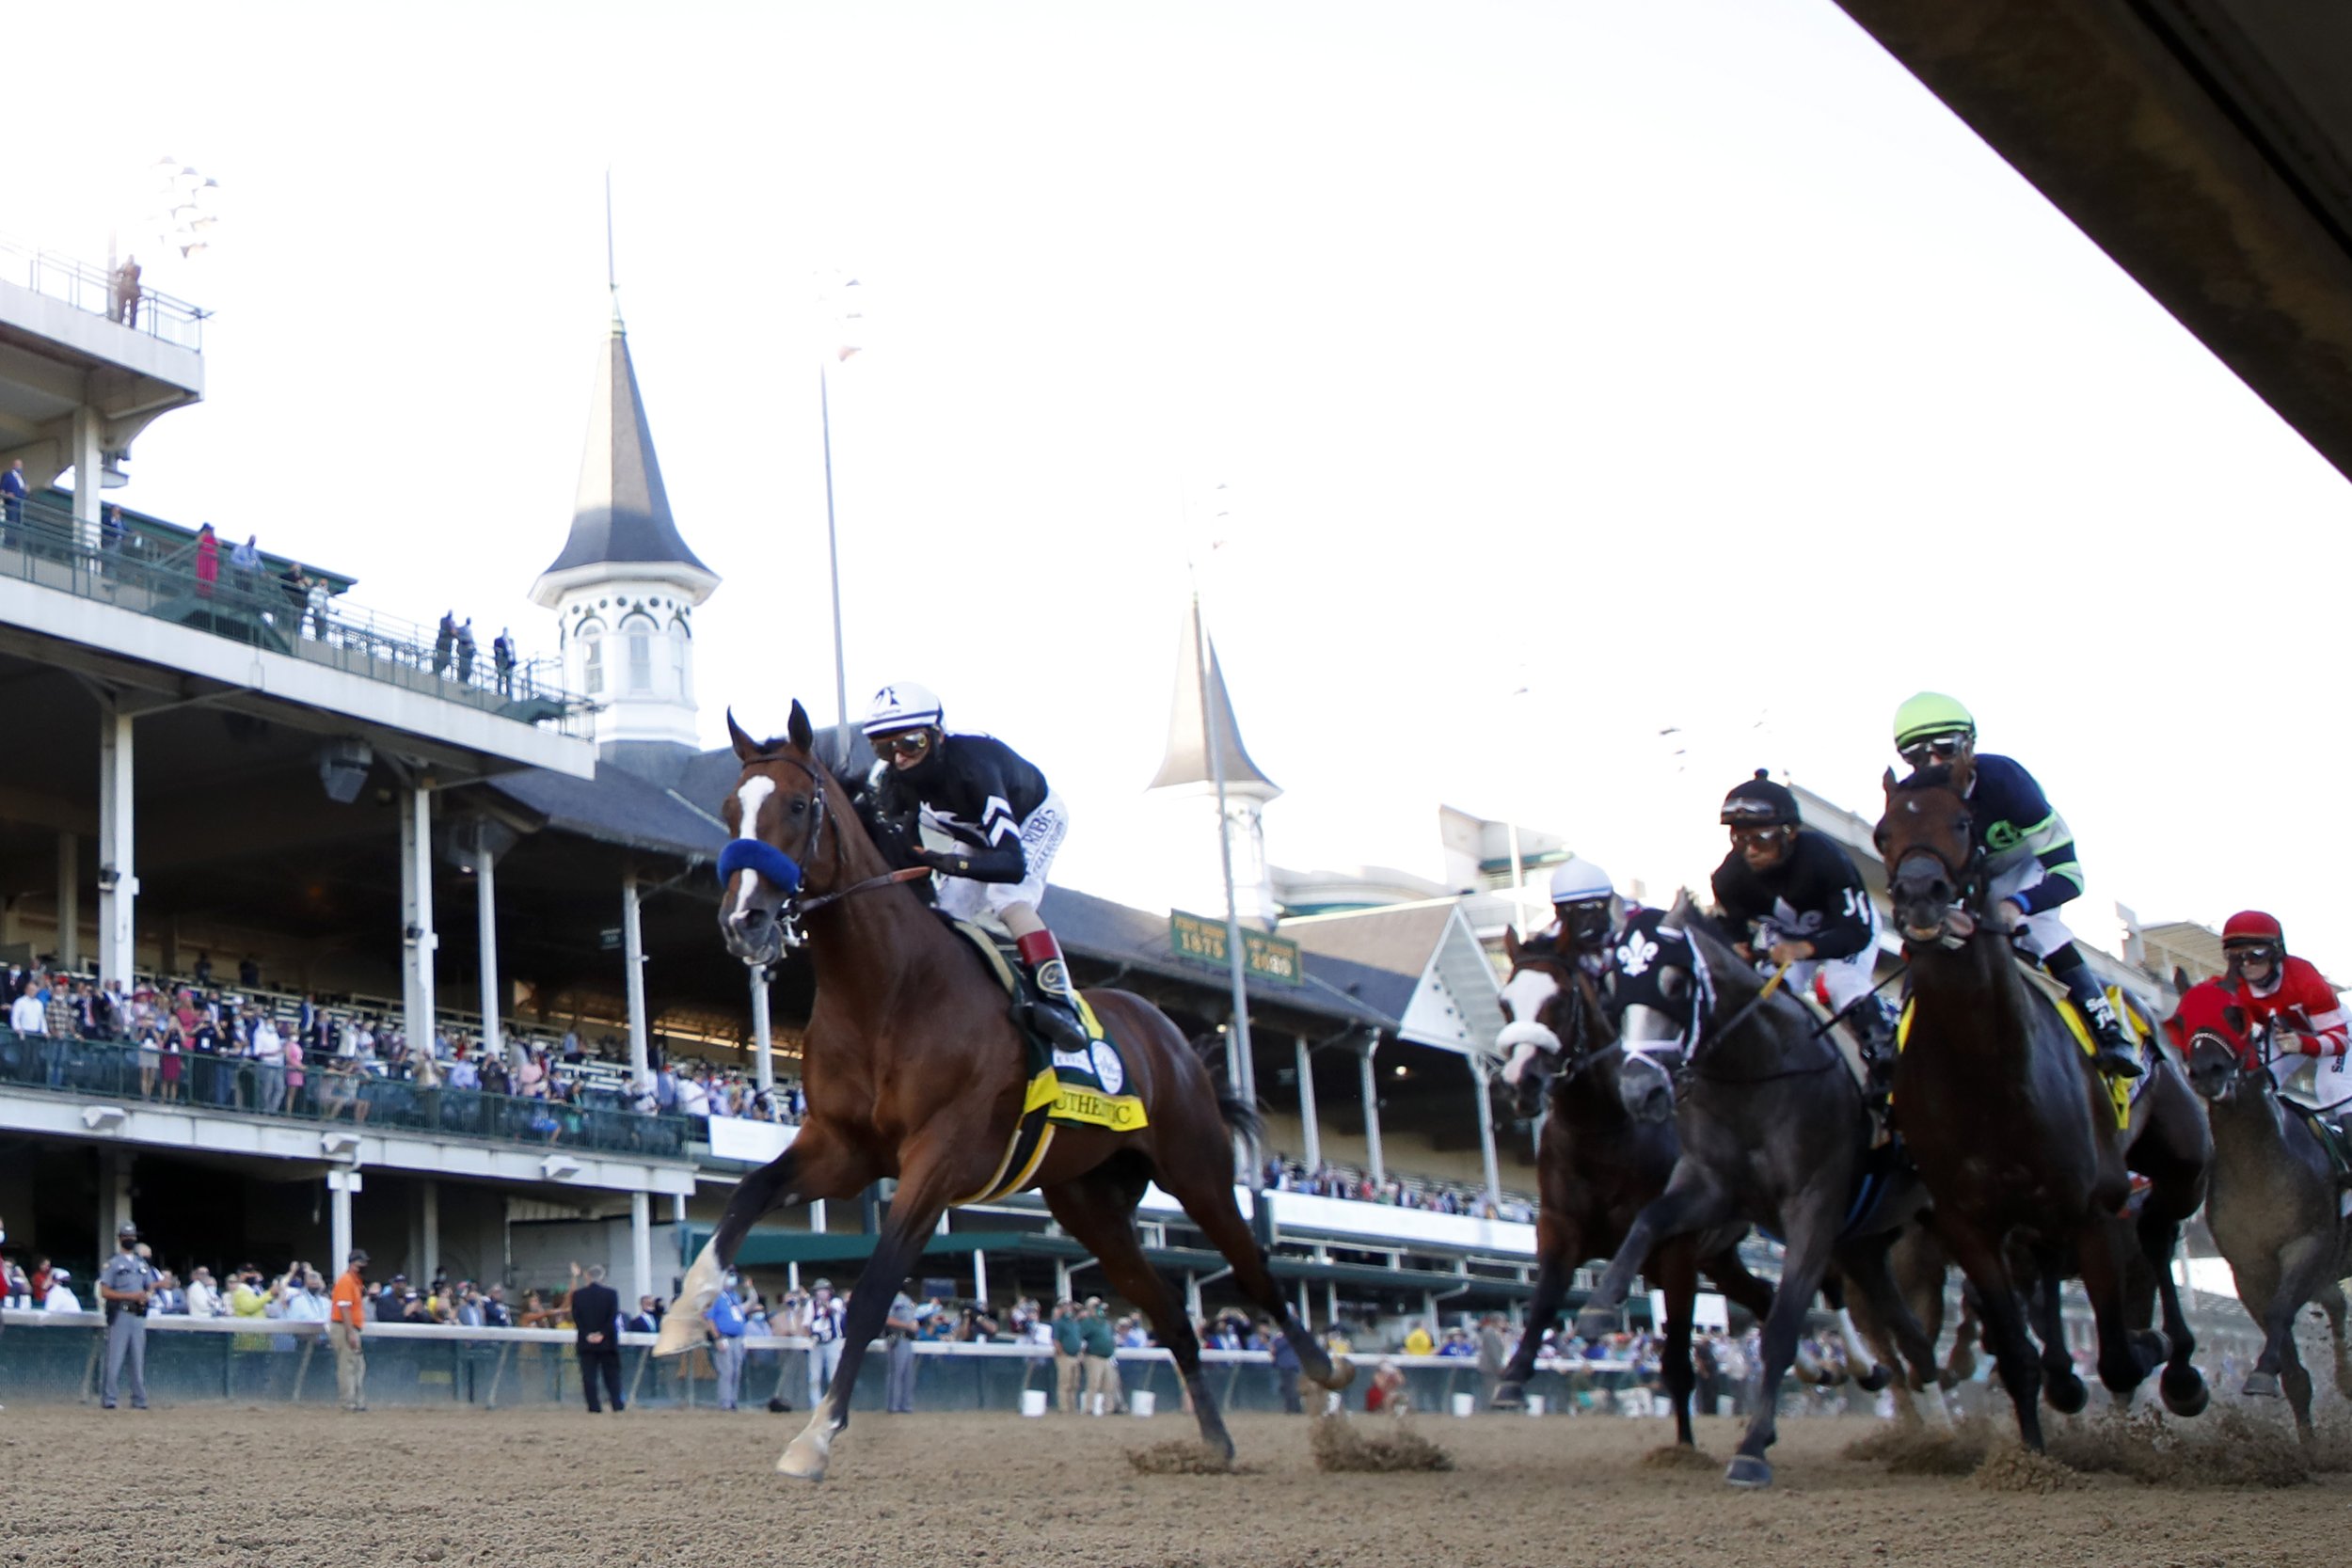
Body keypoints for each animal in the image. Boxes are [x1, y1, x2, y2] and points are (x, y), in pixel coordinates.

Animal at [663, 705, 1364, 1476]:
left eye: (794, 805)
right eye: (731, 809)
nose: (744, 921)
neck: (890, 991)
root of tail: (1172, 1035)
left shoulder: (937, 1160)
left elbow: (873, 1292)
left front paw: (814, 1437)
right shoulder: (842, 1149)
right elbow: (749, 1195)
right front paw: (684, 1317)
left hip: (1196, 1168)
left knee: (1253, 1266)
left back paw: (1325, 1368)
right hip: (1091, 1203)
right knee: (1172, 1313)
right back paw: (1214, 1440)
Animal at [1486, 930, 1769, 1448]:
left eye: (1559, 1000)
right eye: (1505, 1002)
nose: (1520, 1083)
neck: (1602, 1131)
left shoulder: (1676, 1249)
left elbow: (1677, 1362)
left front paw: (1685, 1450)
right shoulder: (1559, 1229)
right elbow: (1542, 1305)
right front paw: (1512, 1381)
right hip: (1721, 1259)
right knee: (1765, 1296)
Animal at [1571, 902, 1938, 1495]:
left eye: (1675, 983)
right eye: (1614, 990)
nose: (1641, 1092)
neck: (1759, 1070)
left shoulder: (1813, 1204)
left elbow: (1783, 1325)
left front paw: (1750, 1449)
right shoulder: (1711, 1187)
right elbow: (1649, 1220)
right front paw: (1599, 1306)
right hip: (1871, 1243)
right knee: (1912, 1337)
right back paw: (1945, 1434)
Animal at [1863, 761, 2211, 1448]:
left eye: (1962, 822)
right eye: (1884, 832)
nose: (1919, 896)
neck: (1987, 1067)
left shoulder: (2095, 1208)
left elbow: (2118, 1357)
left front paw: (2144, 1351)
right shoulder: (1968, 1224)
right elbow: (2018, 1354)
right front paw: (2031, 1452)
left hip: (2182, 1161)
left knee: (2159, 1231)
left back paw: (2181, 1368)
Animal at [2164, 982, 2352, 1448]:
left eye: (2236, 1016)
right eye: (2182, 1019)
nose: (2207, 1071)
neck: (2259, 1165)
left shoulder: (2307, 1246)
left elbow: (2281, 1312)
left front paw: (2263, 1374)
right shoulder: (2247, 1271)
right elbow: (2290, 1364)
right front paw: (2307, 1450)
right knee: (2336, 1303)